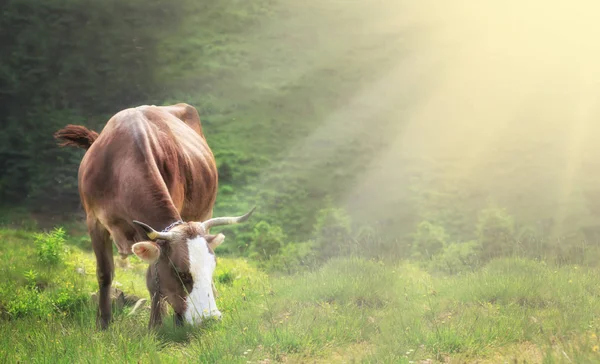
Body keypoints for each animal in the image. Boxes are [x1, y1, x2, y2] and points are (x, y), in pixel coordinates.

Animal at [54, 103, 253, 330]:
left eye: (213, 267)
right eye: (181, 273)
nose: (210, 319)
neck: (121, 169)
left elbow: (153, 278)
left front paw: (156, 325)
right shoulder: (94, 221)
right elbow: (105, 273)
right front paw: (103, 323)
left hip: (205, 212)